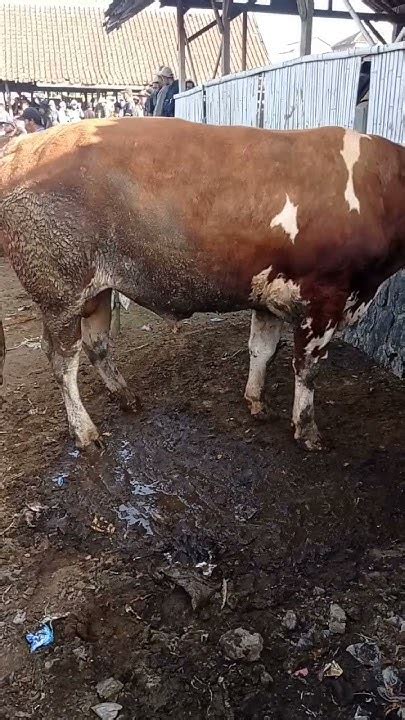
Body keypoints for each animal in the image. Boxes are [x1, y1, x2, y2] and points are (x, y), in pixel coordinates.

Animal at [0, 119, 404, 450]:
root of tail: (21, 145)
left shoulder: (269, 294)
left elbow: (262, 350)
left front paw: (256, 401)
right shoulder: (324, 299)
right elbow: (306, 368)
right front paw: (307, 431)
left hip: (95, 290)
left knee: (97, 344)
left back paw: (126, 397)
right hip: (59, 291)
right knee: (62, 360)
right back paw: (85, 432)